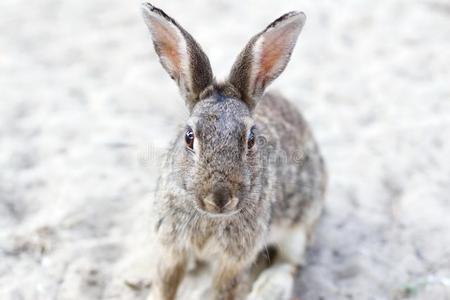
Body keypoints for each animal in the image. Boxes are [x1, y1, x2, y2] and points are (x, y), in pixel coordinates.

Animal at [142, 2, 326, 300]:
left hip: (299, 225)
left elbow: (224, 289)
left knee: (291, 262)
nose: (219, 198)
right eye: (189, 137)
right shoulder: (172, 247)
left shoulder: (235, 259)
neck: (210, 217)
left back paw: (269, 288)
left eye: (251, 139)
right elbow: (165, 283)